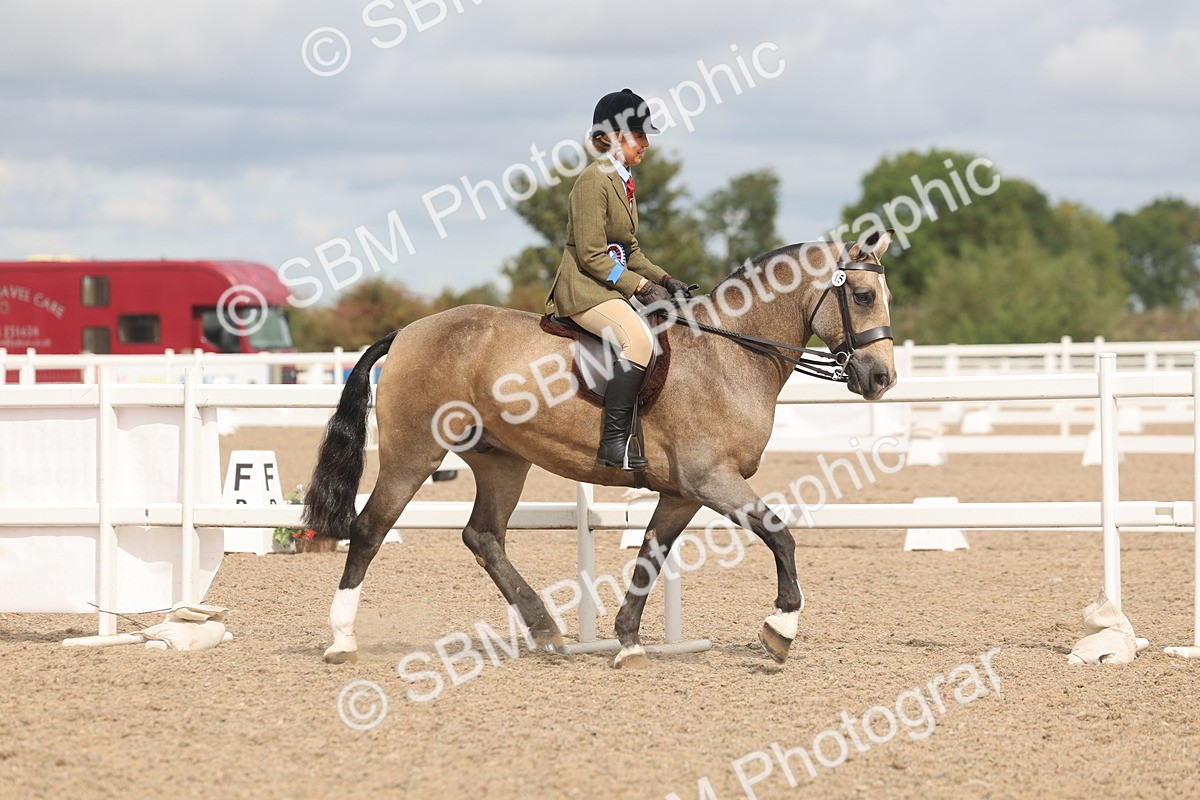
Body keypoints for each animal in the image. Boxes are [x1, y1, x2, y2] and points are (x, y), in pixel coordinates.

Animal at [303, 230, 897, 668]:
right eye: (863, 296)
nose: (881, 378)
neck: (730, 354)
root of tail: (406, 332)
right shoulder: (712, 479)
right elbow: (780, 535)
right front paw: (781, 628)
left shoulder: (683, 493)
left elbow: (649, 557)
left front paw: (628, 642)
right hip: (414, 454)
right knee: (370, 529)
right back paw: (341, 640)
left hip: (502, 461)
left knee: (483, 536)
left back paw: (545, 628)